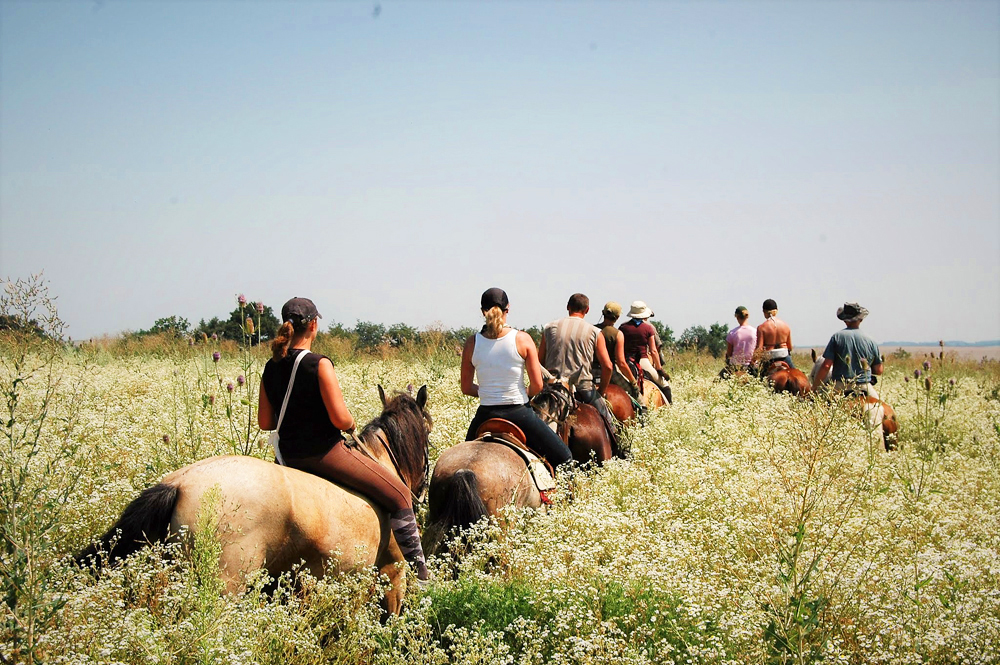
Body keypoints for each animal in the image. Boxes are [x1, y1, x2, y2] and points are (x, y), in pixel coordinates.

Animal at [80, 386, 432, 616]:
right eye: (428, 434)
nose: (420, 491)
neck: (383, 461)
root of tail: (179, 483)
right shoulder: (393, 572)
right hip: (225, 585)